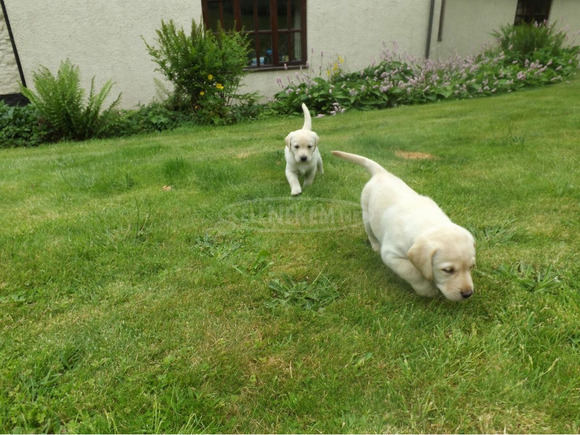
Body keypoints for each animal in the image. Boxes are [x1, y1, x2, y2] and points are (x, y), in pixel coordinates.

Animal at [330, 152, 476, 302]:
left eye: (471, 266)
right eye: (448, 270)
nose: (468, 294)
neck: (428, 223)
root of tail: (381, 172)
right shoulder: (391, 254)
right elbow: (411, 271)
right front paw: (427, 290)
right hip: (367, 216)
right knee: (370, 233)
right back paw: (375, 246)